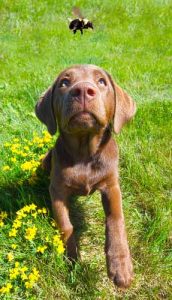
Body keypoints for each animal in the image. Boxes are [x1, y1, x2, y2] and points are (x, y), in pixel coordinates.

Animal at [35, 65, 136, 288]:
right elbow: (66, 225)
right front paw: (72, 258)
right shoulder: (57, 191)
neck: (84, 154)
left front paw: (120, 265)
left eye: (101, 82)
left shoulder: (112, 186)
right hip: (47, 161)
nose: (82, 90)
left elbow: (116, 218)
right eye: (64, 82)